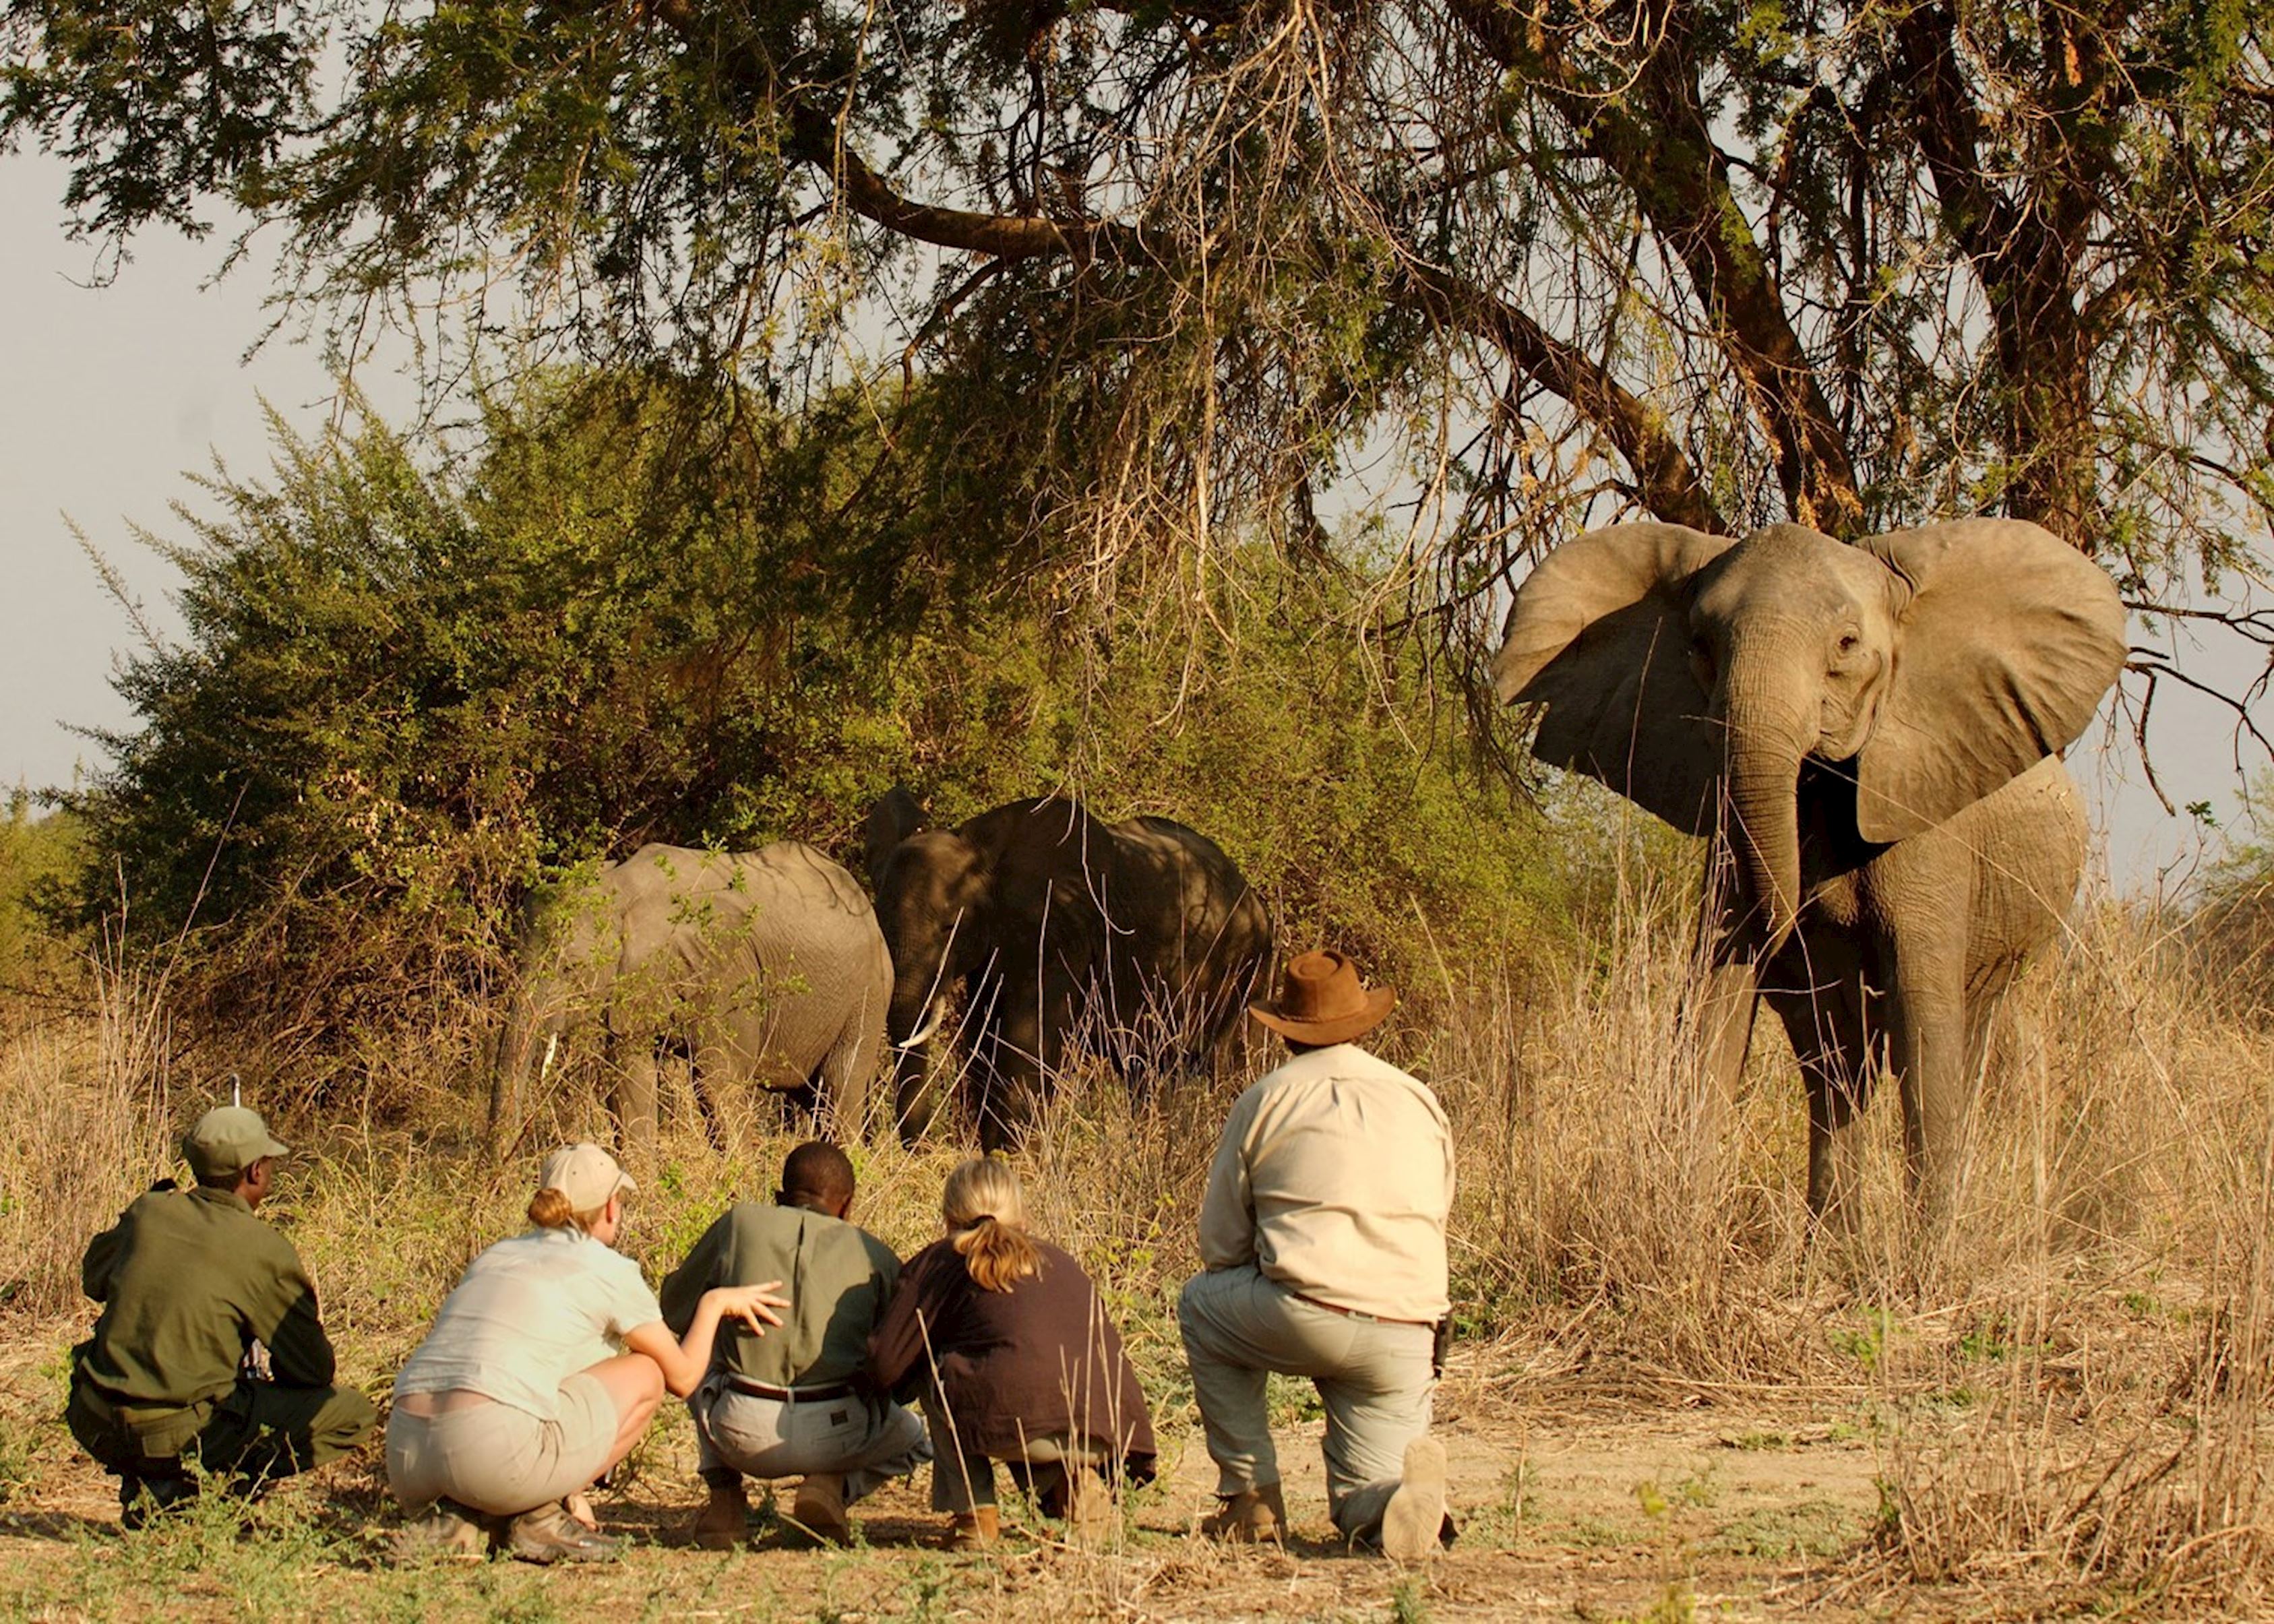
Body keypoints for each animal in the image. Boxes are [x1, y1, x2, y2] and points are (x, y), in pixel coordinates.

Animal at [493, 841, 891, 1155]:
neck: (622, 889)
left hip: (869, 994)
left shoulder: (726, 971)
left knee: (839, 1094)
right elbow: (630, 1084)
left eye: (571, 968)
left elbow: (717, 1084)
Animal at [864, 791, 1273, 1146]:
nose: (919, 1150)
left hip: (1249, 973)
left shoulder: (1062, 929)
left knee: (1231, 1070)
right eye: (878, 919)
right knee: (1146, 1074)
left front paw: (1013, 1161)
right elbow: (983, 1038)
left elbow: (1024, 1040)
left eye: (950, 927)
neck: (985, 854)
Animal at [1492, 518, 2128, 1228]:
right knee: (1836, 1068)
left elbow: (1924, 1026)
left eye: (1847, 645)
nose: (1792, 921)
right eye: (1700, 645)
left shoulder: (1929, 831)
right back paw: (1836, 1246)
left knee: (1974, 1042)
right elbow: (1712, 1009)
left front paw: (1932, 1255)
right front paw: (1679, 1230)